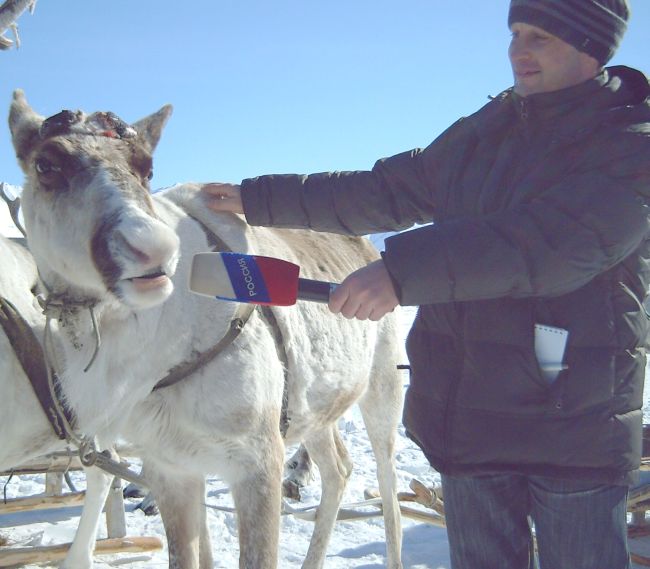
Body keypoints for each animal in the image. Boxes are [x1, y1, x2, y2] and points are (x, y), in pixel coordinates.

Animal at [9, 89, 404, 569]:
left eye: (147, 168)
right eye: (46, 165)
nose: (153, 247)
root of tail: (366, 245)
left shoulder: (258, 462)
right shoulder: (171, 466)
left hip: (383, 392)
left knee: (389, 491)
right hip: (318, 409)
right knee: (339, 470)